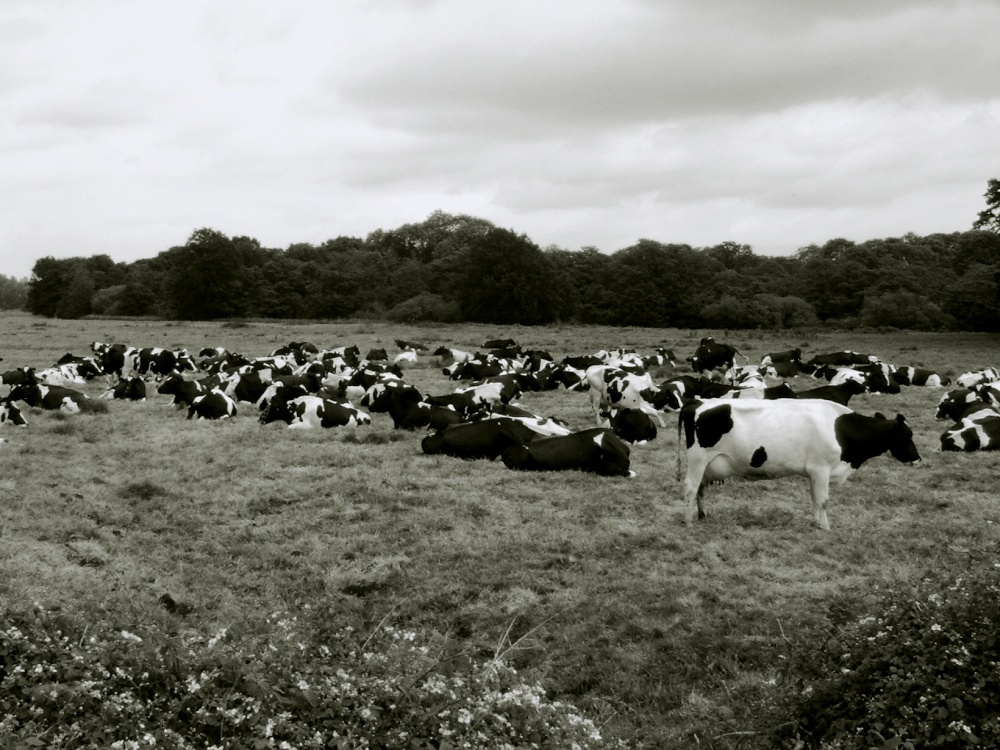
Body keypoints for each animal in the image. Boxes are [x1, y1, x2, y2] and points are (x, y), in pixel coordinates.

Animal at [680, 402, 920, 532]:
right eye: (907, 435)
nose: (918, 459)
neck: (840, 430)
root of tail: (696, 403)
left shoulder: (814, 472)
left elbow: (814, 498)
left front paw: (815, 523)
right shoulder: (822, 469)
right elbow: (823, 500)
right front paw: (825, 527)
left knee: (700, 490)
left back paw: (702, 514)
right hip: (697, 459)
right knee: (690, 488)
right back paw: (688, 521)